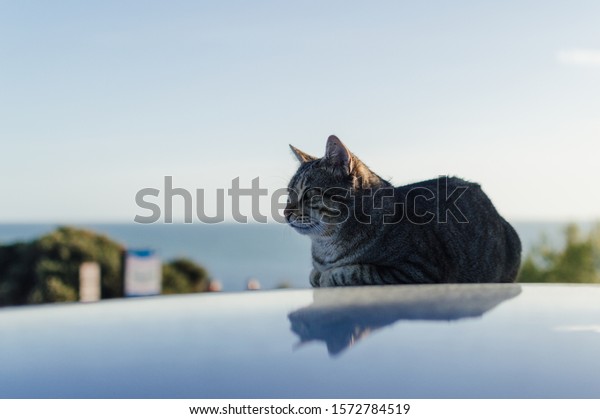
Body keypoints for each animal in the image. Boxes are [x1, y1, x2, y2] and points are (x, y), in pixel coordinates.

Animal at [286, 136, 520, 288]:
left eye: (308, 193)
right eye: (289, 193)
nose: (286, 213)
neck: (326, 247)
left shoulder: (417, 269)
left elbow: (354, 271)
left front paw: (327, 277)